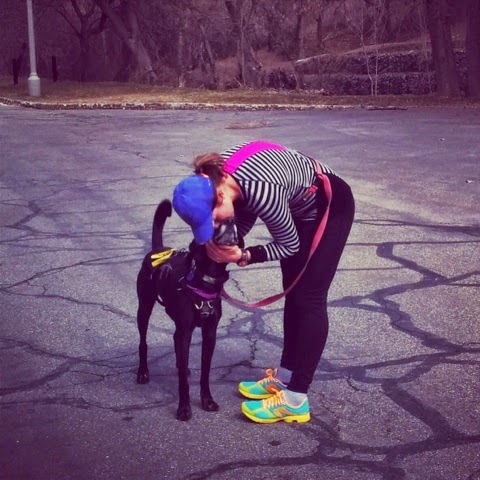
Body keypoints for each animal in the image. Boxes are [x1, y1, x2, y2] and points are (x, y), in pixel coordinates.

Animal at [136, 199, 238, 421]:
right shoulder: (184, 333)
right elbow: (183, 379)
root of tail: (158, 248)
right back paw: (142, 372)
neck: (206, 279)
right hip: (144, 308)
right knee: (143, 342)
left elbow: (205, 372)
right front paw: (184, 408)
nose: (230, 219)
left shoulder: (209, 334)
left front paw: (207, 401)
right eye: (214, 222)